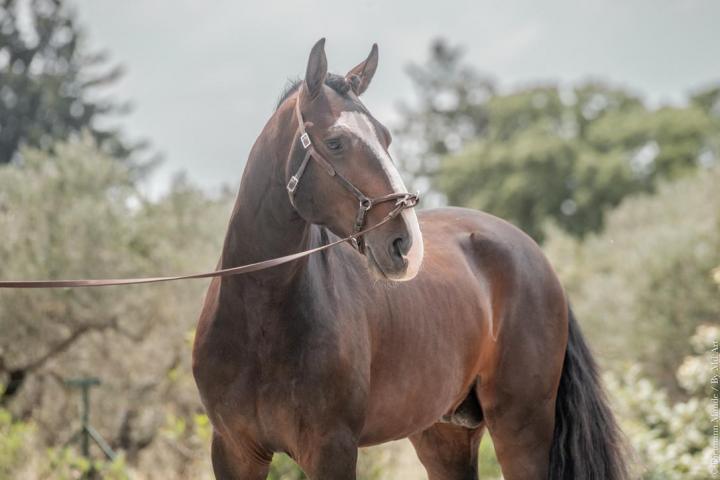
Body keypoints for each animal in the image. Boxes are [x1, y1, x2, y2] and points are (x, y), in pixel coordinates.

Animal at [192, 39, 629, 480]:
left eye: (385, 138)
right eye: (335, 142)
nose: (406, 245)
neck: (261, 315)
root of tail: (534, 254)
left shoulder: (331, 448)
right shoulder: (234, 450)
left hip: (522, 428)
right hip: (445, 434)